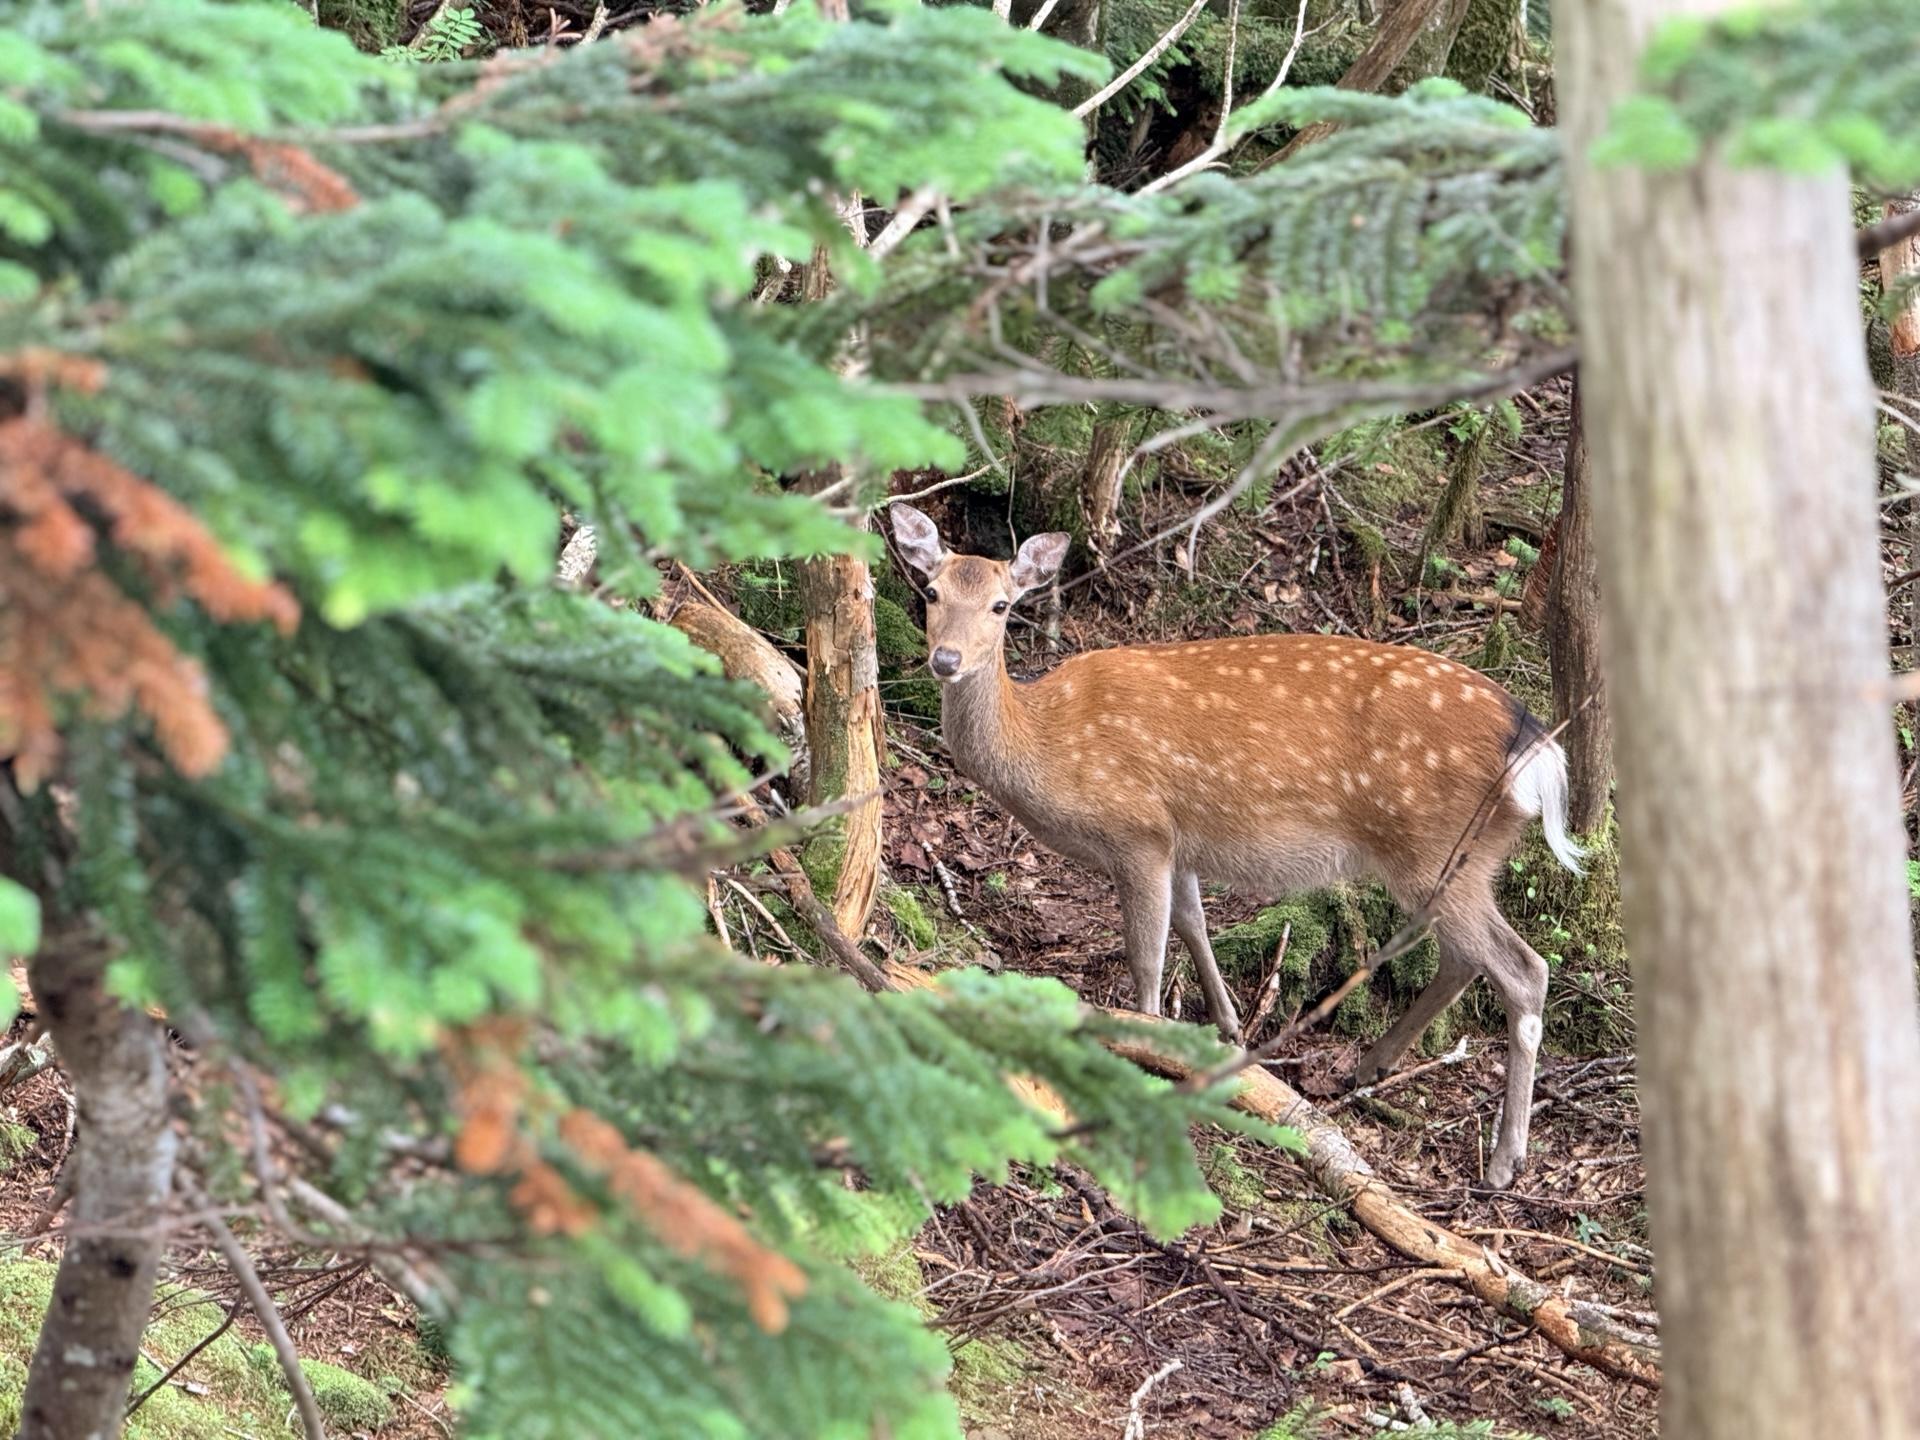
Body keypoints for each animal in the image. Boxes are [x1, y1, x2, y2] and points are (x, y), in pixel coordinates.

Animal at [887, 502, 1584, 1190]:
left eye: (1002, 605)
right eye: (931, 591)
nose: (945, 659)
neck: (1047, 743)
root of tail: (1536, 749)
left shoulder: (1138, 830)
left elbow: (1146, 954)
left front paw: (1144, 1046)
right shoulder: (1178, 838)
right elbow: (1193, 920)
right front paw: (1225, 1027)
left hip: (1435, 845)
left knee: (1524, 970)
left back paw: (1504, 1159)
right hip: (1456, 858)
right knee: (1464, 959)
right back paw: (1370, 1066)